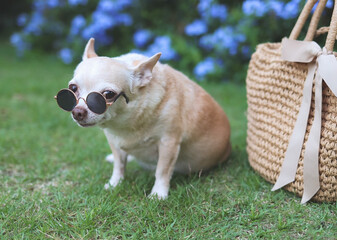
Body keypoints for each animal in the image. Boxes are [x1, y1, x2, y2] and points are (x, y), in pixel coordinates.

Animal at [58, 37, 231, 199]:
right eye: (72, 88)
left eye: (108, 94)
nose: (78, 111)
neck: (126, 122)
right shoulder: (114, 141)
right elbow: (119, 165)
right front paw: (114, 184)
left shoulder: (169, 143)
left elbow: (162, 171)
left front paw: (158, 194)